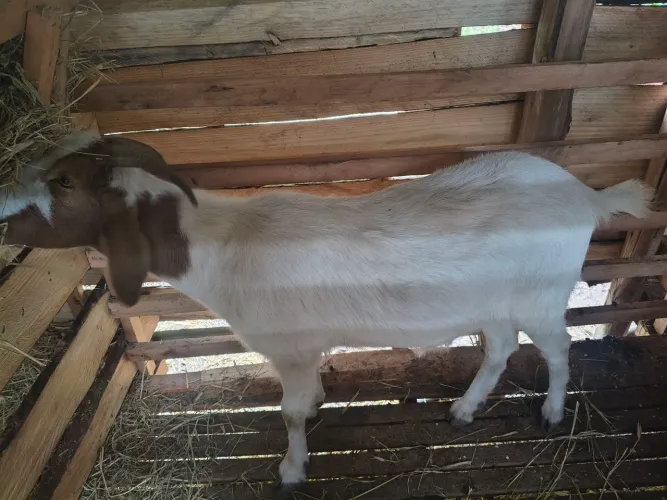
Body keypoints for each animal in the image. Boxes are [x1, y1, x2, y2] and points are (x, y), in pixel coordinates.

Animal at [0, 132, 650, 488]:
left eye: (63, 183)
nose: (3, 209)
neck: (221, 245)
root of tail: (585, 193)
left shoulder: (288, 347)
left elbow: (287, 413)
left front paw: (291, 470)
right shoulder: (305, 348)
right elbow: (307, 393)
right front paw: (315, 407)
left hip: (542, 293)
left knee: (559, 347)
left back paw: (552, 412)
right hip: (494, 301)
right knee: (501, 348)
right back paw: (464, 410)